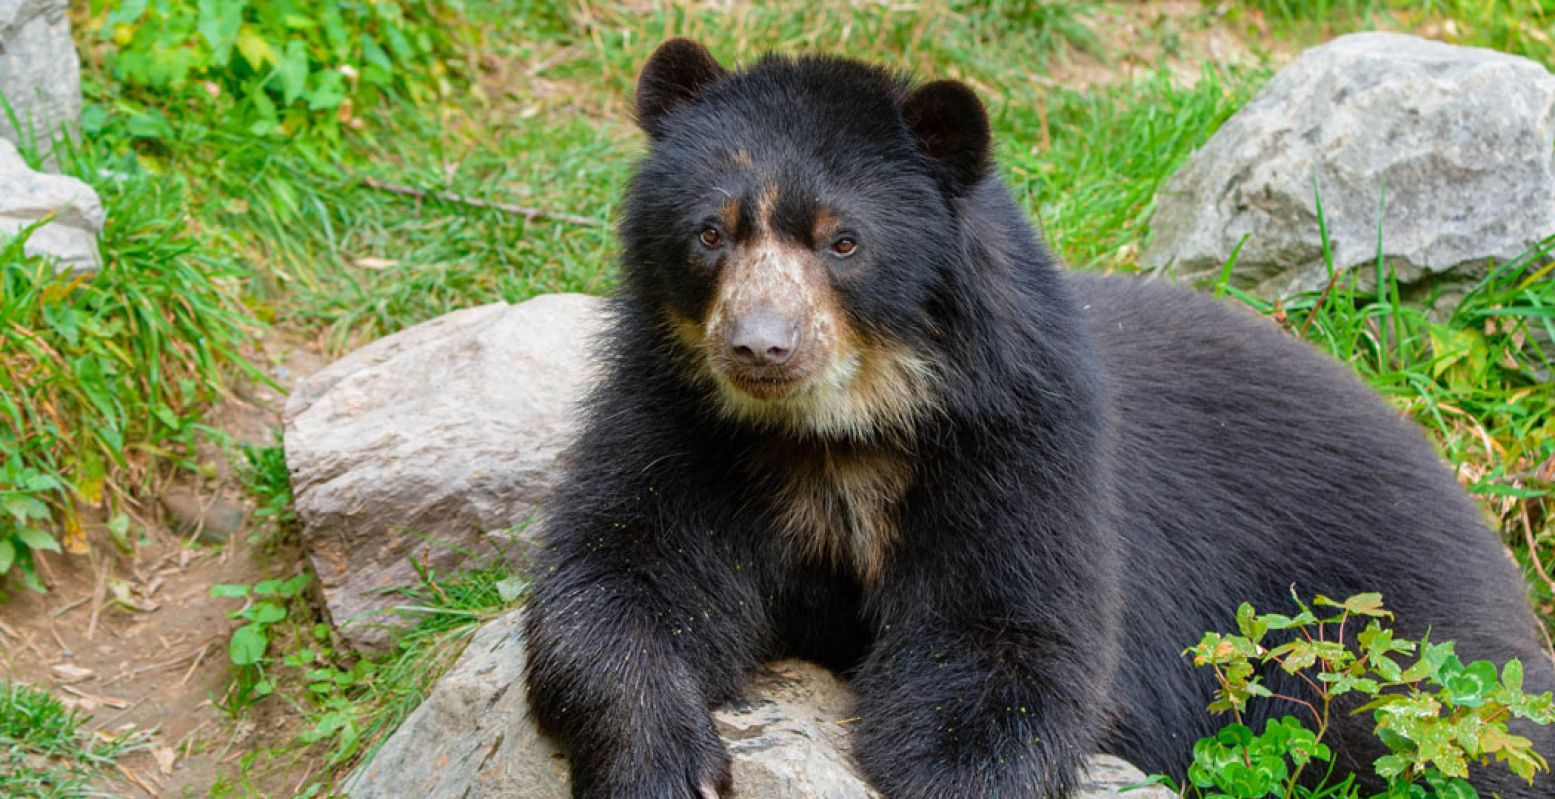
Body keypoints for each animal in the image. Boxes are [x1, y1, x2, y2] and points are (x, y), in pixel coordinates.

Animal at [522, 38, 1555, 795]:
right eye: (710, 231)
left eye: (842, 241)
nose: (759, 348)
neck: (840, 432)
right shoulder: (682, 421)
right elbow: (619, 579)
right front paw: (663, 764)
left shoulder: (1021, 441)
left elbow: (1010, 641)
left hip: (1382, 633)